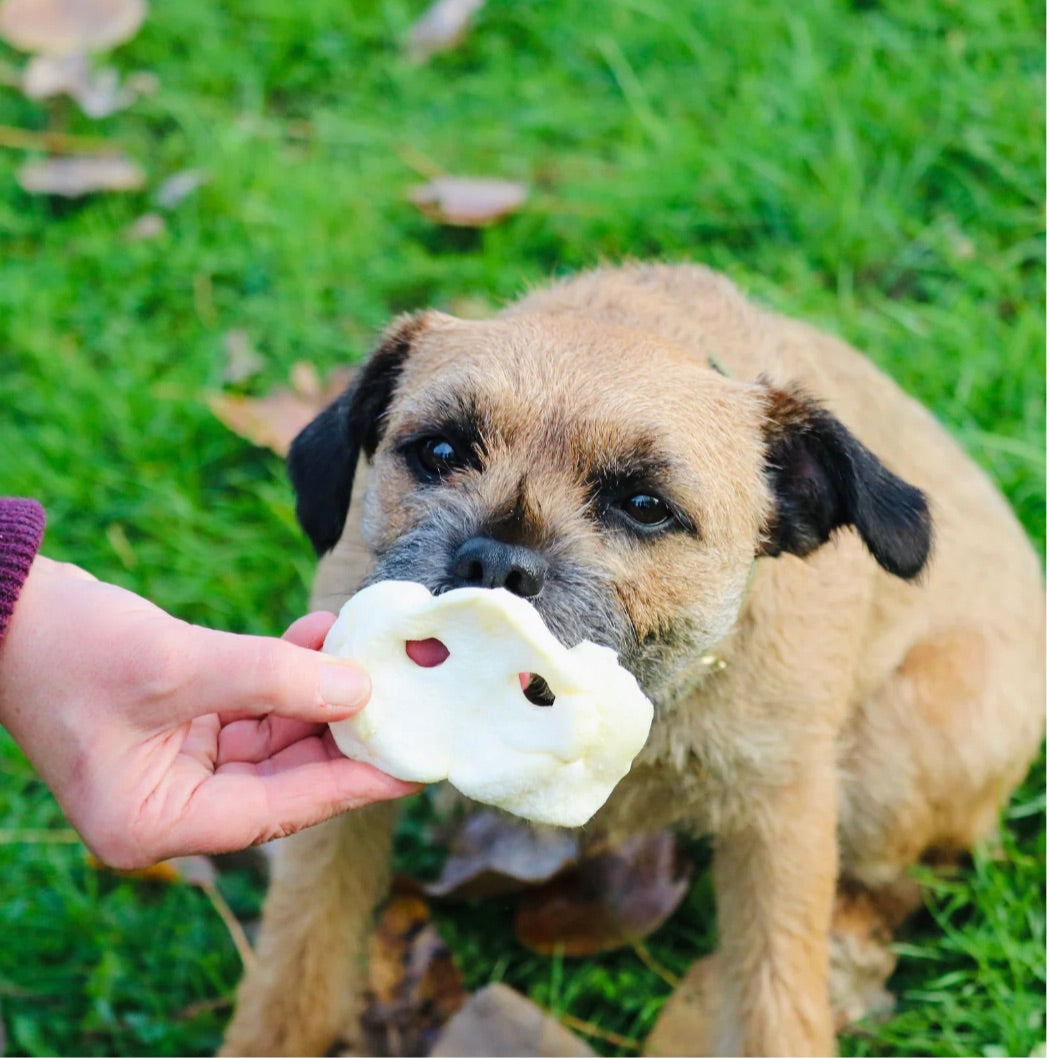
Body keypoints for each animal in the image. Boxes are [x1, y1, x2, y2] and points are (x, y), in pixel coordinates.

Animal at [221, 264, 1047, 1058]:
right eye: (441, 452)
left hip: (891, 754)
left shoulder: (781, 822)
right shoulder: (335, 823)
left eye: (646, 506)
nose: (494, 561)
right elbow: (302, 952)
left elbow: (776, 996)